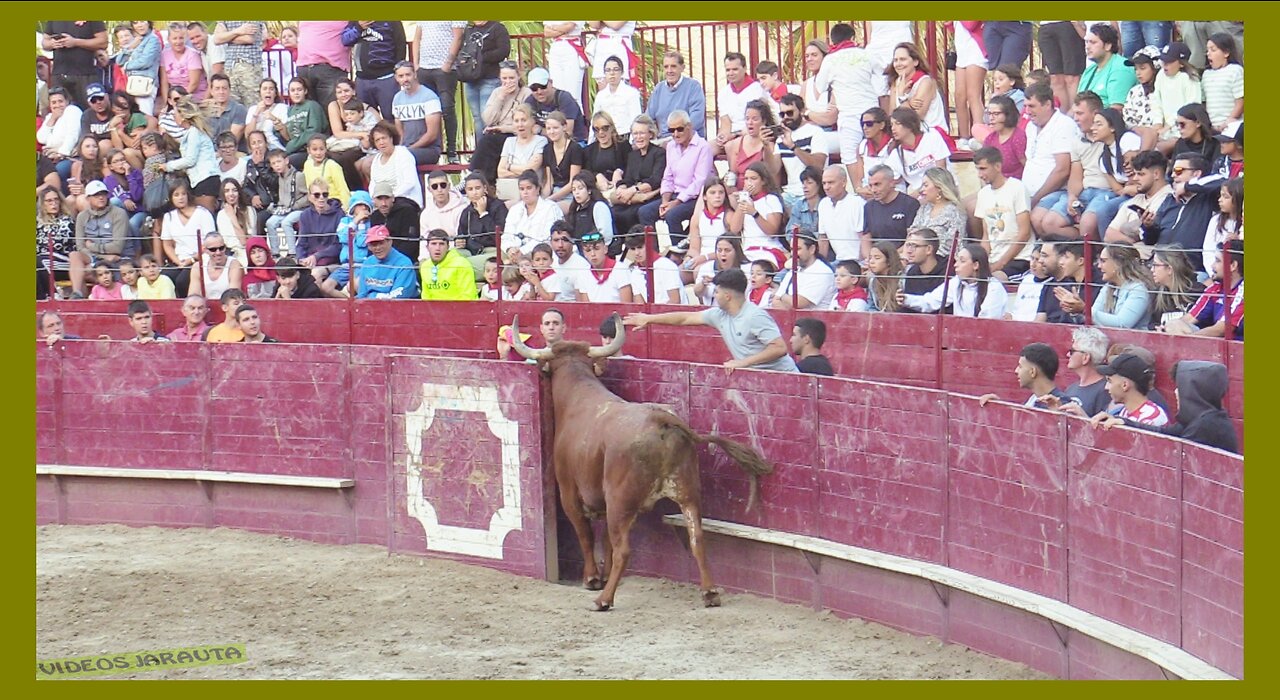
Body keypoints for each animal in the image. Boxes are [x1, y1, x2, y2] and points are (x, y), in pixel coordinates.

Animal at [509, 314, 768, 611]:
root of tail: (660, 420)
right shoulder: (605, 502)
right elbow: (606, 540)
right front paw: (602, 575)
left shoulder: (569, 493)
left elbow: (587, 535)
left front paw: (592, 579)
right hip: (687, 493)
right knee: (697, 539)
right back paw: (710, 593)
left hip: (621, 500)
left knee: (624, 549)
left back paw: (603, 599)